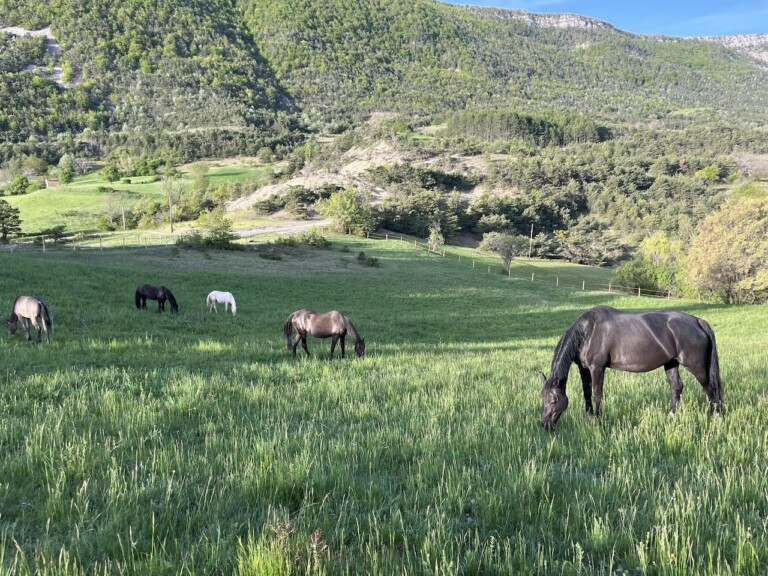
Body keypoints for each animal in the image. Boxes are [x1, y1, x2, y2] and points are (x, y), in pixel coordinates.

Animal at [539, 305, 723, 430]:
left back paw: (715, 418)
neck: (589, 332)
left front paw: (598, 421)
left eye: (554, 400)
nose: (544, 424)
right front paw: (589, 417)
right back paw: (671, 416)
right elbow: (587, 393)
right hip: (671, 364)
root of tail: (697, 321)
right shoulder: (584, 369)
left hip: (697, 367)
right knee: (676, 387)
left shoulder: (597, 368)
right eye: (542, 398)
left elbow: (597, 394)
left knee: (710, 390)